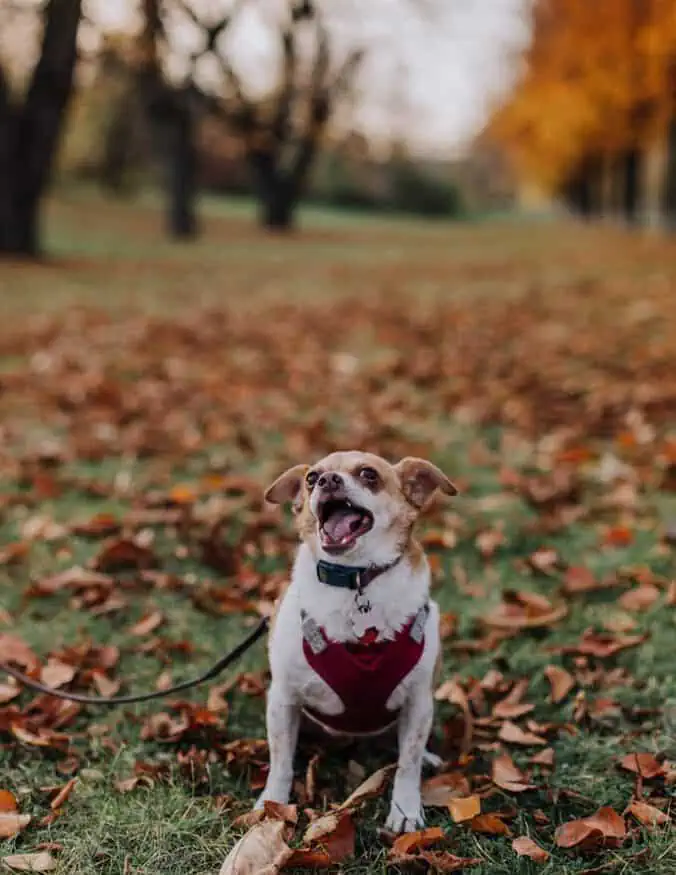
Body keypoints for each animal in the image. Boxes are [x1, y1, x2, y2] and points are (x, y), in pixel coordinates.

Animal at [256, 452, 456, 836]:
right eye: (311, 478)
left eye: (369, 475)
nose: (327, 481)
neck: (355, 580)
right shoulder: (283, 699)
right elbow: (281, 761)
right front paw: (272, 804)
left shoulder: (418, 701)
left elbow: (407, 763)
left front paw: (405, 809)